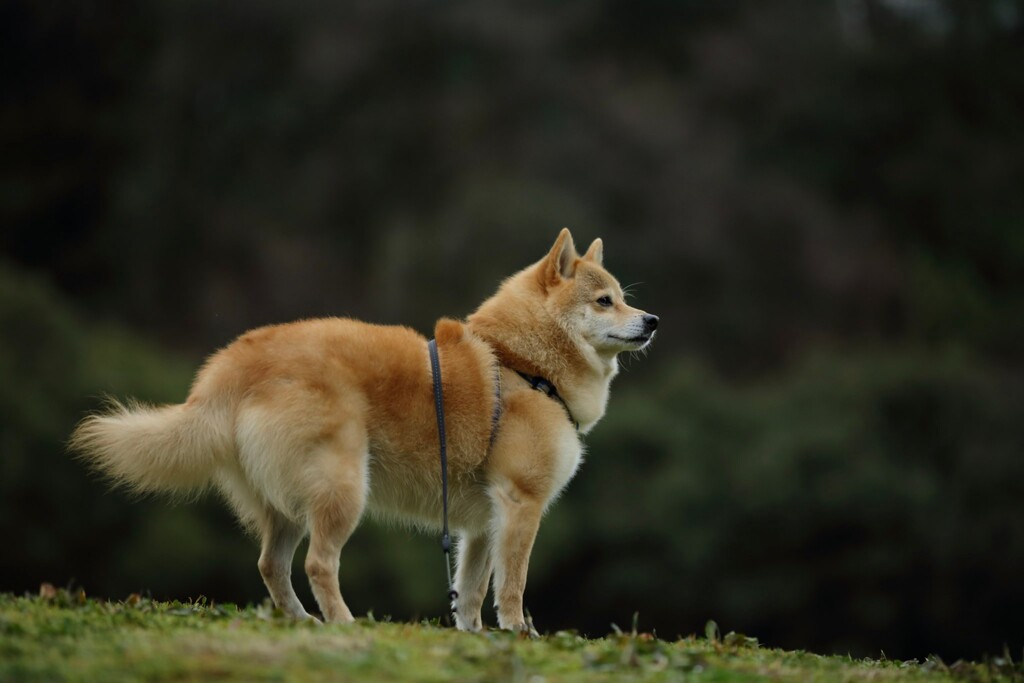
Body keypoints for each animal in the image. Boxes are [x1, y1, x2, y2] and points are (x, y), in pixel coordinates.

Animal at [74, 231, 663, 634]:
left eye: (623, 297)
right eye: (605, 301)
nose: (653, 319)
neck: (522, 364)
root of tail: (233, 365)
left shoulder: (481, 524)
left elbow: (472, 591)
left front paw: (475, 637)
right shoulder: (521, 504)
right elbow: (512, 585)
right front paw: (520, 633)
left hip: (289, 503)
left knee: (271, 565)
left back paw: (303, 623)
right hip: (342, 489)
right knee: (317, 563)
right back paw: (343, 623)